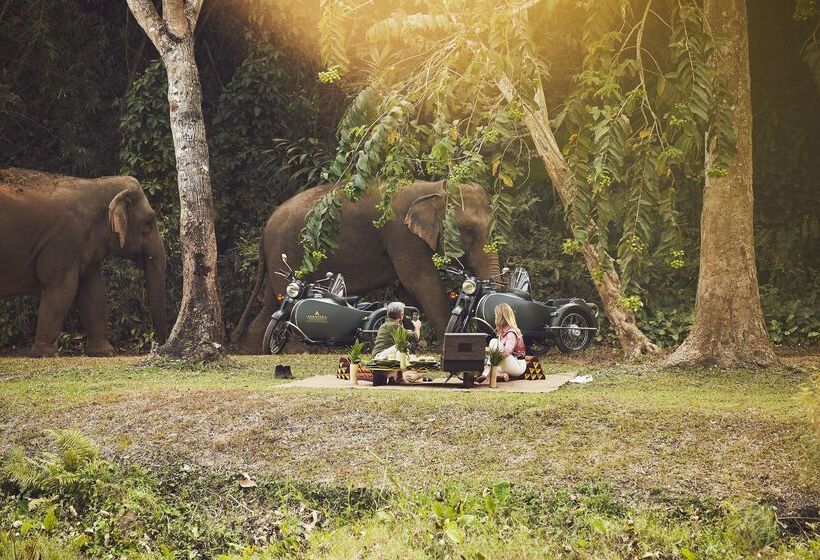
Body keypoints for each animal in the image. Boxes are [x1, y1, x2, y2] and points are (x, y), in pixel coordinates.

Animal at [0, 168, 168, 357]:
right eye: (148, 222)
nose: (157, 347)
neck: (96, 183)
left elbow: (93, 291)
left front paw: (104, 352)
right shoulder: (64, 240)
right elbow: (62, 289)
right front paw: (43, 354)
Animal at [231, 180, 501, 353]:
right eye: (468, 231)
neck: (435, 189)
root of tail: (266, 226)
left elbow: (407, 290)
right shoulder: (401, 235)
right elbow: (421, 281)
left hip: (278, 257)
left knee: (271, 301)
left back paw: (250, 350)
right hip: (287, 249)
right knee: (281, 300)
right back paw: (298, 350)